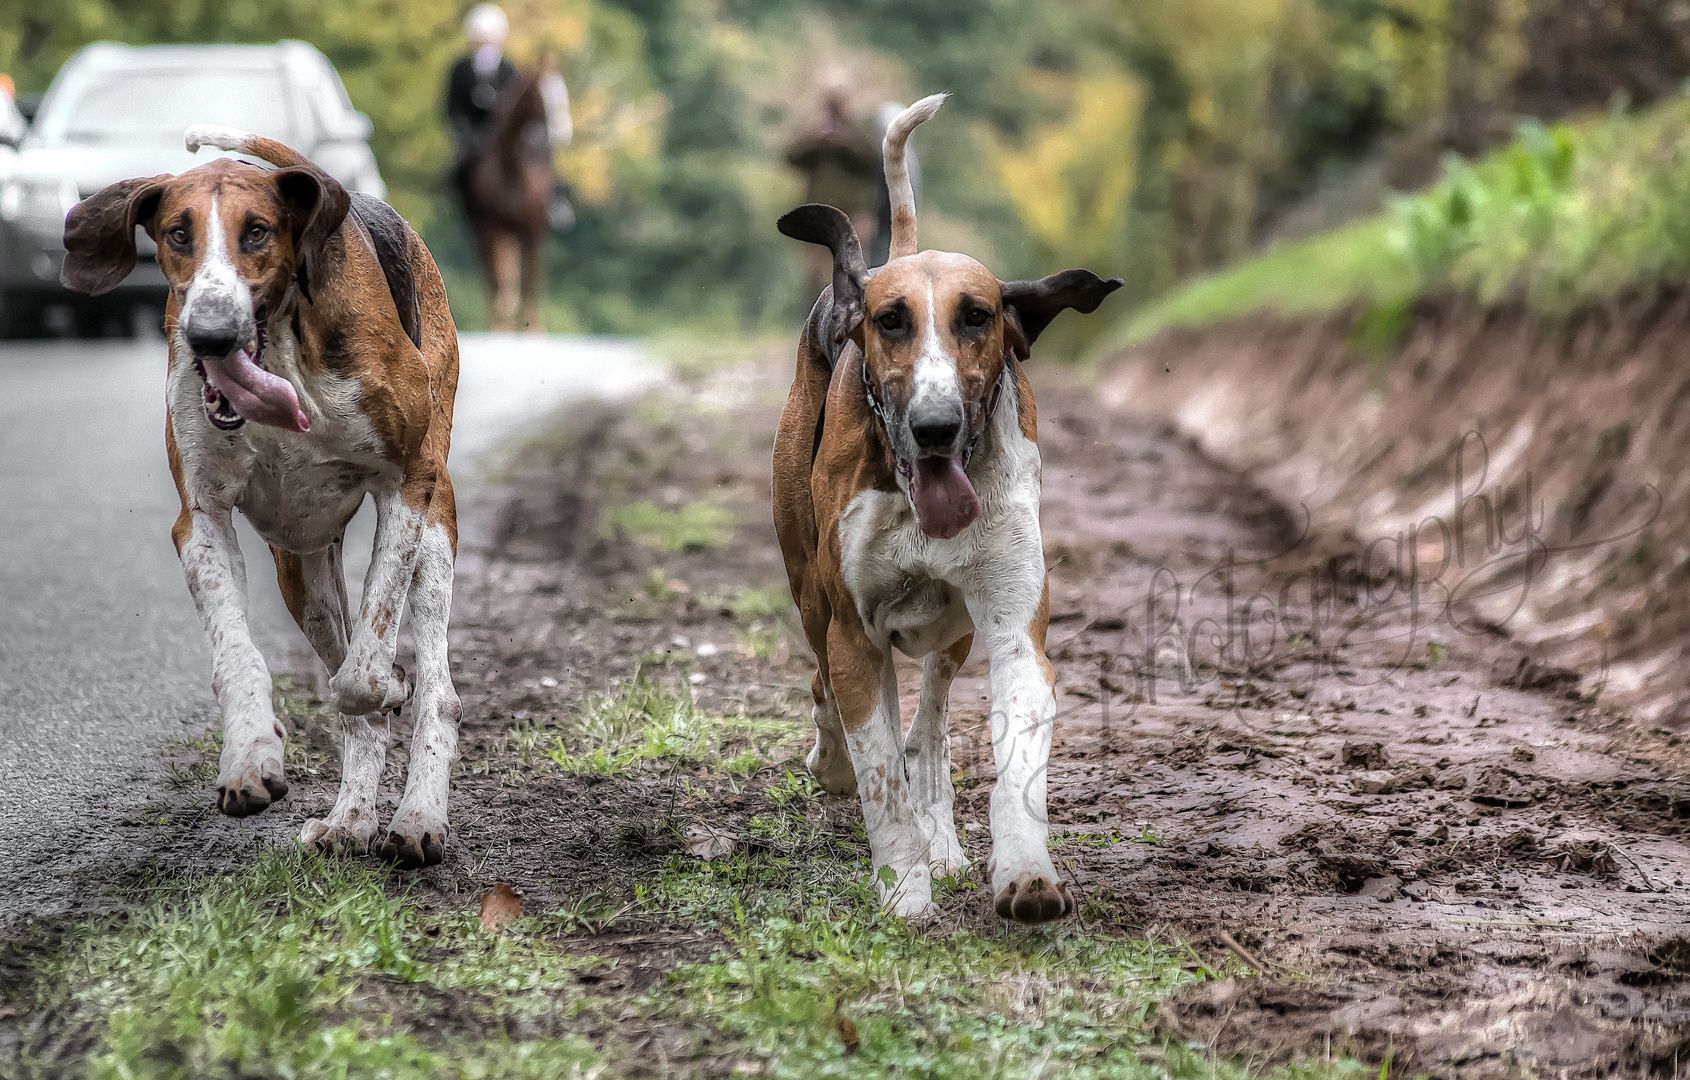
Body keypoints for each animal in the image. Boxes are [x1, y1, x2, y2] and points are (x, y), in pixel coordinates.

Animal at [62, 126, 463, 872]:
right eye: (177, 233)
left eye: (257, 232)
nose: (211, 334)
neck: (281, 348)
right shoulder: (202, 521)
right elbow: (239, 655)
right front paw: (250, 756)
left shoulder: (406, 484)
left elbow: (368, 665)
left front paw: (385, 685)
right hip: (300, 568)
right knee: (351, 689)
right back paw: (350, 818)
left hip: (437, 524)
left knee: (435, 691)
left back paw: (419, 814)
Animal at [463, 67, 554, 331]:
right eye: (540, 96)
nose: (558, 133)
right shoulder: (494, 228)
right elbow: (500, 281)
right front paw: (500, 327)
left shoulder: (534, 229)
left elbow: (530, 280)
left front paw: (534, 329)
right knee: (495, 279)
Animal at [774, 97, 1122, 919]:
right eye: (891, 321)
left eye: (977, 317)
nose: (936, 426)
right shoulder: (852, 636)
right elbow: (879, 778)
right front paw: (904, 890)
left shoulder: (1013, 632)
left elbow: (1012, 768)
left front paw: (1024, 872)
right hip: (808, 584)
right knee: (831, 691)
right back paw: (836, 766)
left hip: (954, 630)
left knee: (928, 726)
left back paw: (942, 834)